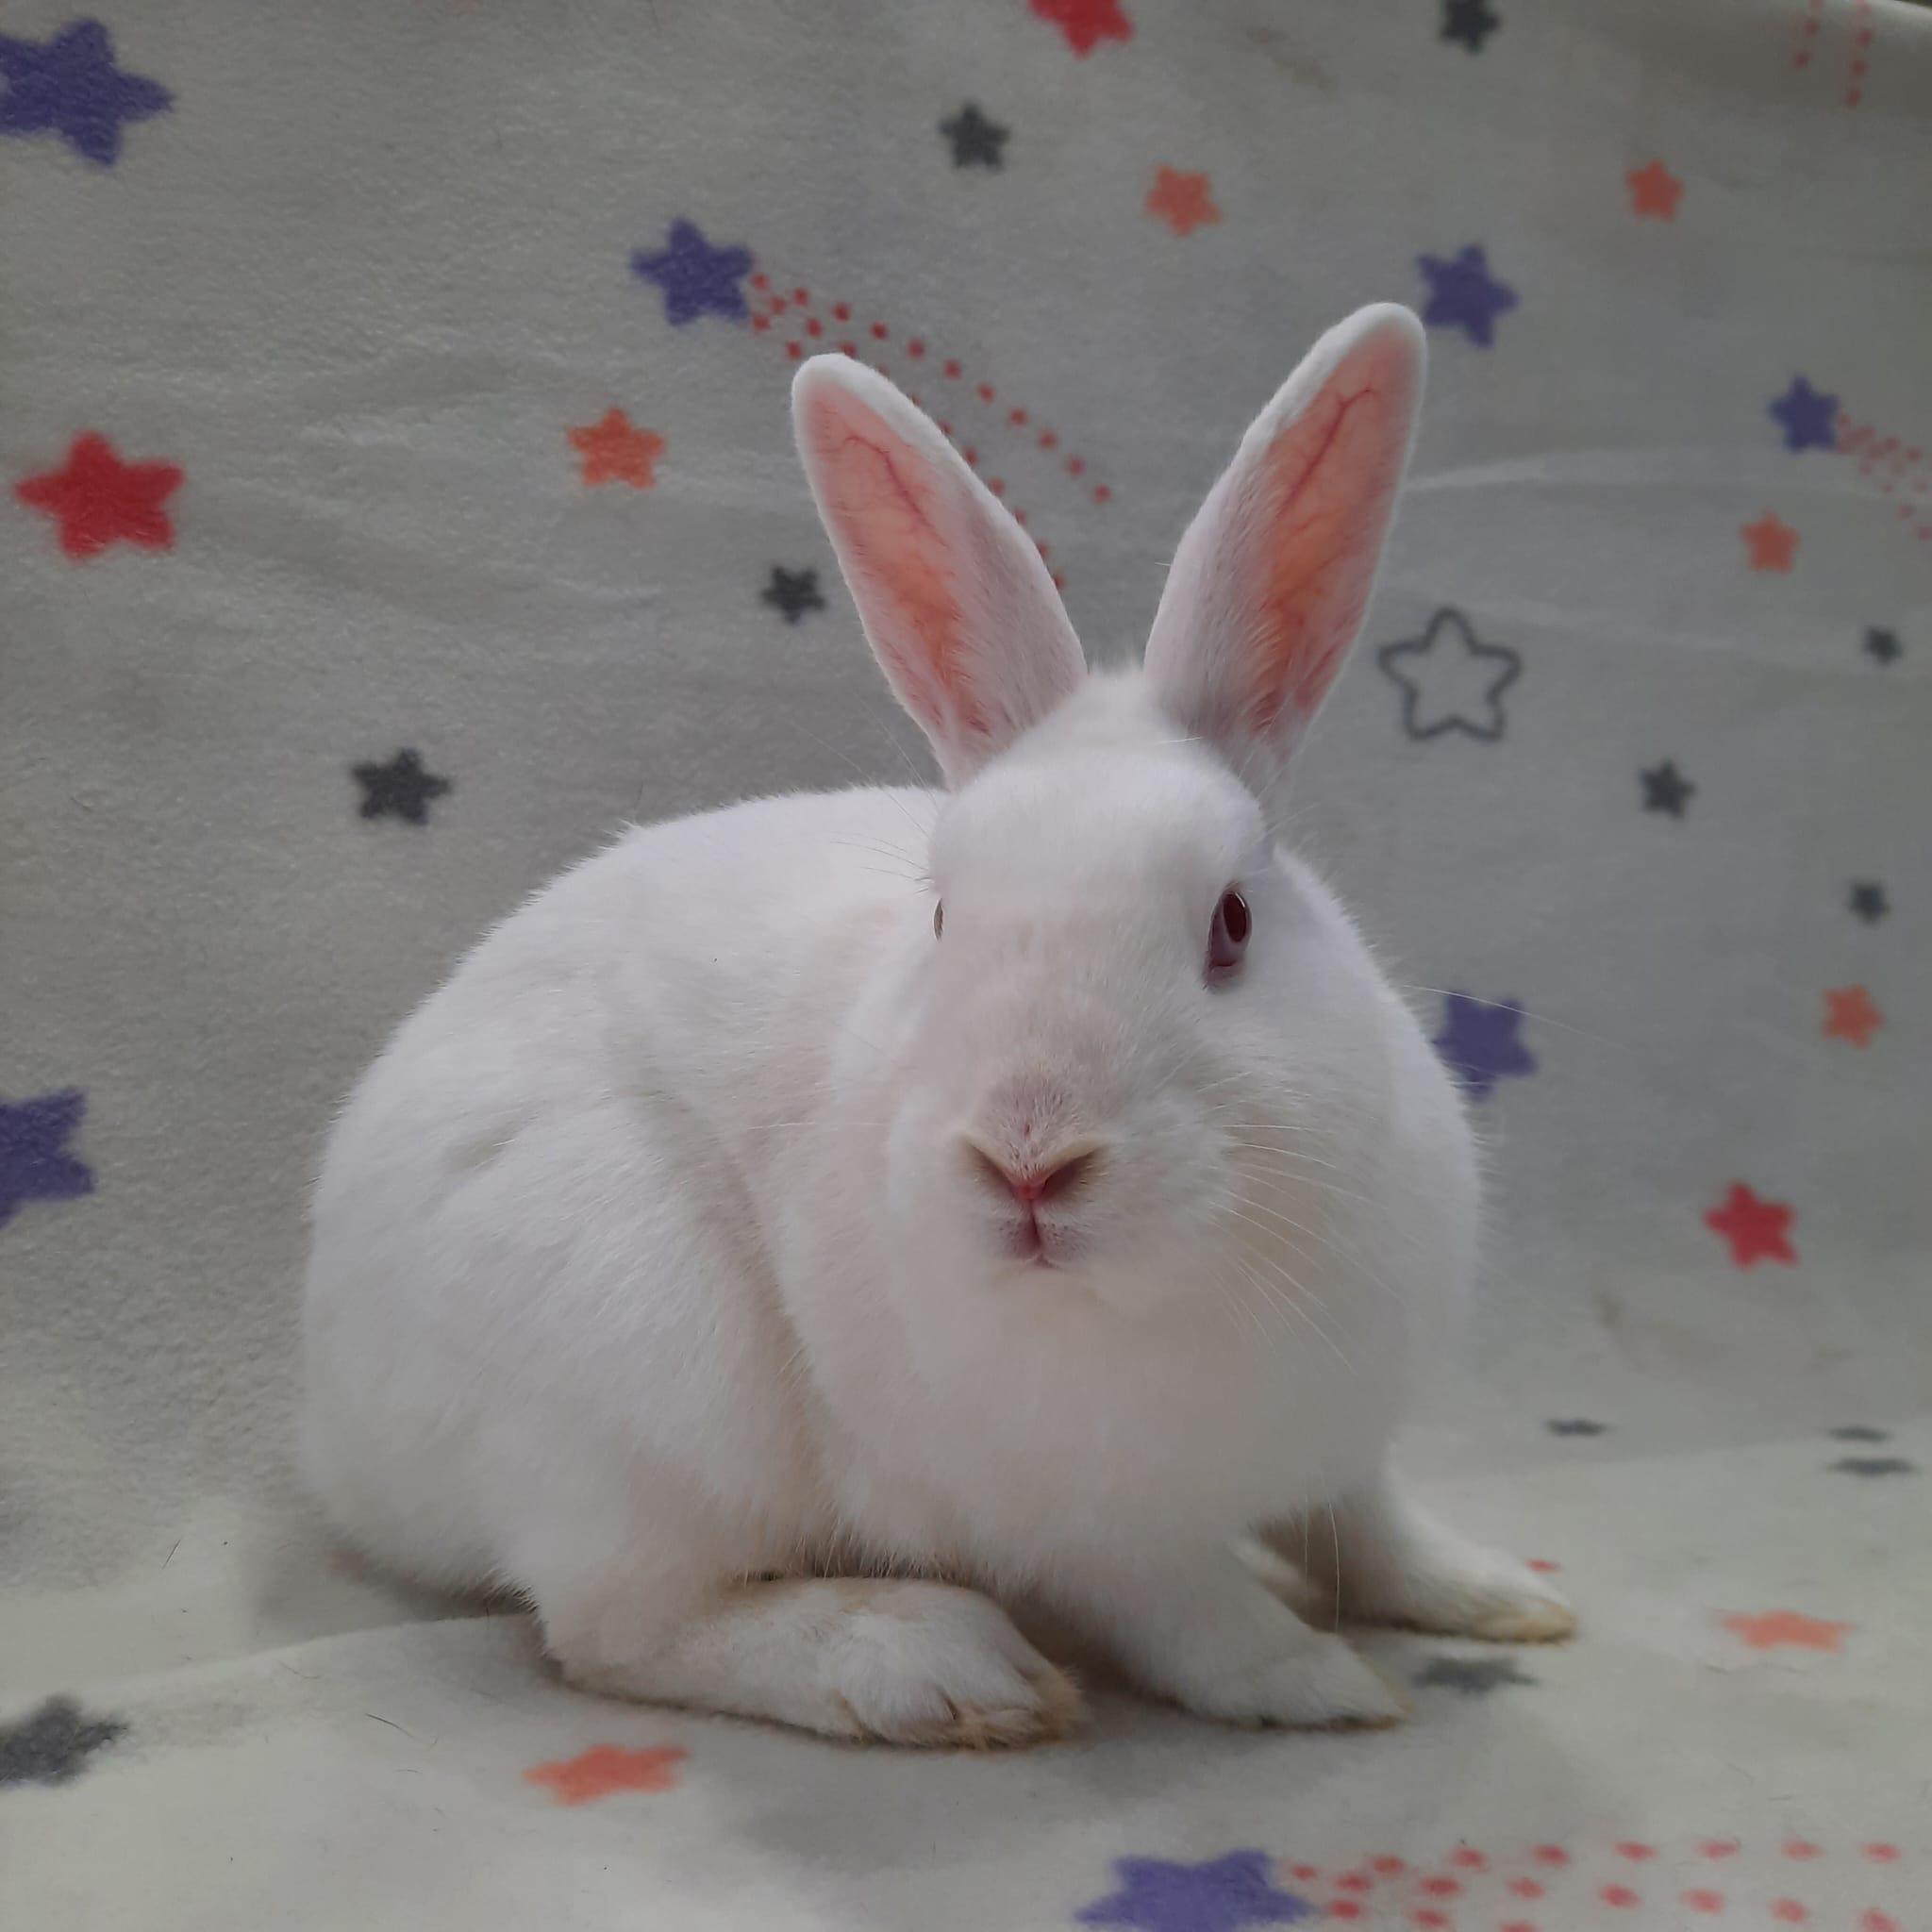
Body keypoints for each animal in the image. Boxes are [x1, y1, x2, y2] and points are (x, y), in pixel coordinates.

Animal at [301, 303, 1574, 1748]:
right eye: (946, 917)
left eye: (1233, 923)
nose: (1028, 1158)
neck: (1163, 1287)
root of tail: (336, 1440)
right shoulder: (1086, 1530)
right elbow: (1199, 1616)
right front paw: (1326, 1686)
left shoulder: (1341, 1437)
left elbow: (1375, 1526)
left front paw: (1502, 1595)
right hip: (630, 1389)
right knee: (618, 1629)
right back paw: (939, 1667)